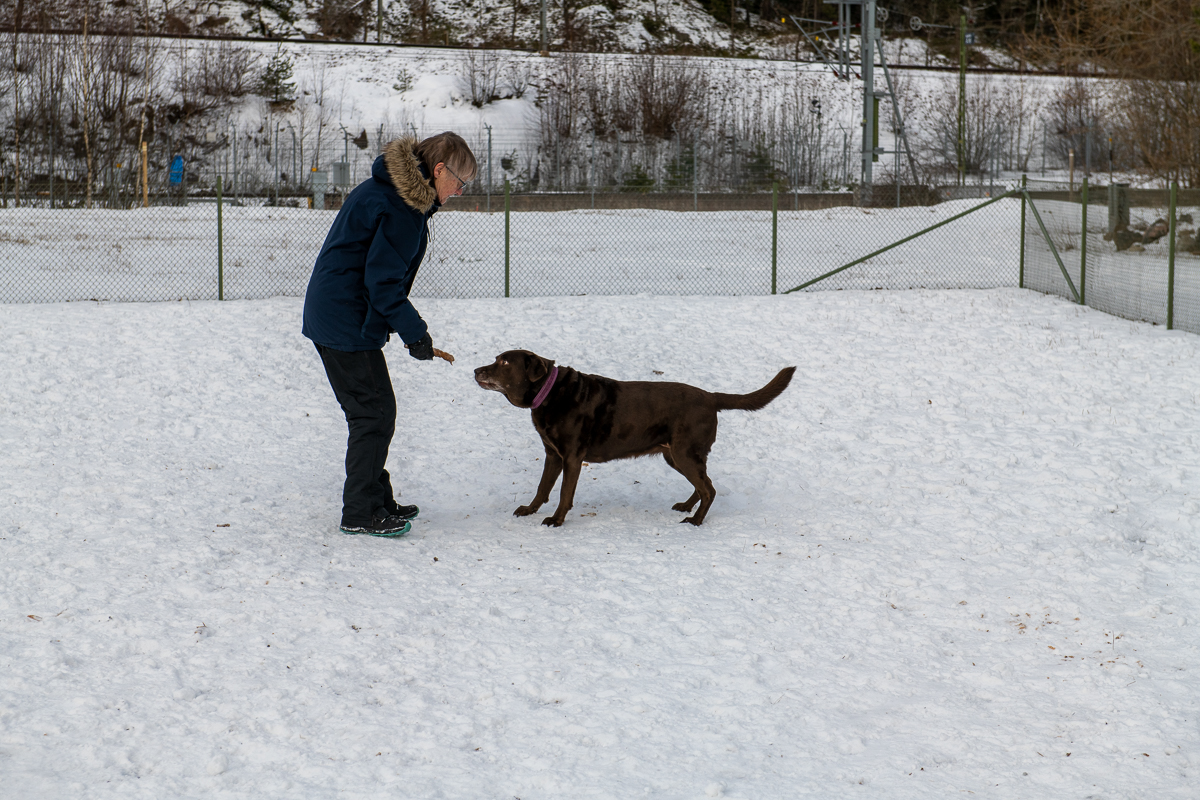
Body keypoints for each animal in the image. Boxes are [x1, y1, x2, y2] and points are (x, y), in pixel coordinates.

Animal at [470, 352, 796, 527]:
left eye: (504, 362)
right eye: (497, 359)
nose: (475, 370)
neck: (550, 394)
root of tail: (711, 397)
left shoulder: (572, 457)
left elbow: (564, 493)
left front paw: (556, 521)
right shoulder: (553, 454)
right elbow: (543, 488)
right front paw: (528, 510)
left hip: (684, 452)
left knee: (709, 489)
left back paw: (696, 521)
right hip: (675, 455)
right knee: (705, 484)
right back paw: (687, 507)